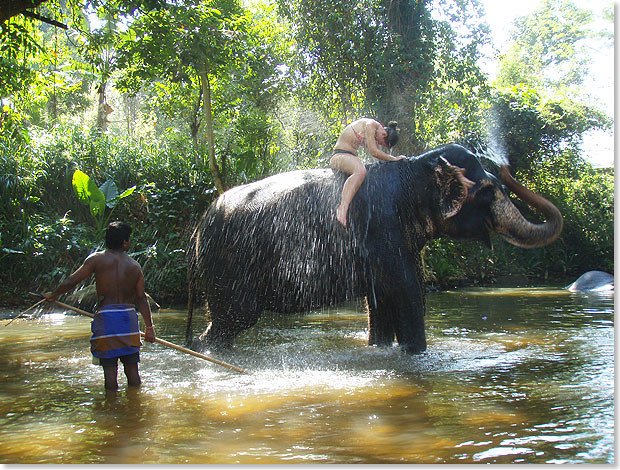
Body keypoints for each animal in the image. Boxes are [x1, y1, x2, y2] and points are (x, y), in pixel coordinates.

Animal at [186, 143, 564, 352]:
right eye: (487, 191)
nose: (506, 166)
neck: (415, 169)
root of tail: (200, 224)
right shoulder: (385, 232)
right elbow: (410, 294)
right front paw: (415, 354)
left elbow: (380, 302)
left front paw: (381, 349)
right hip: (230, 267)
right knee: (232, 320)